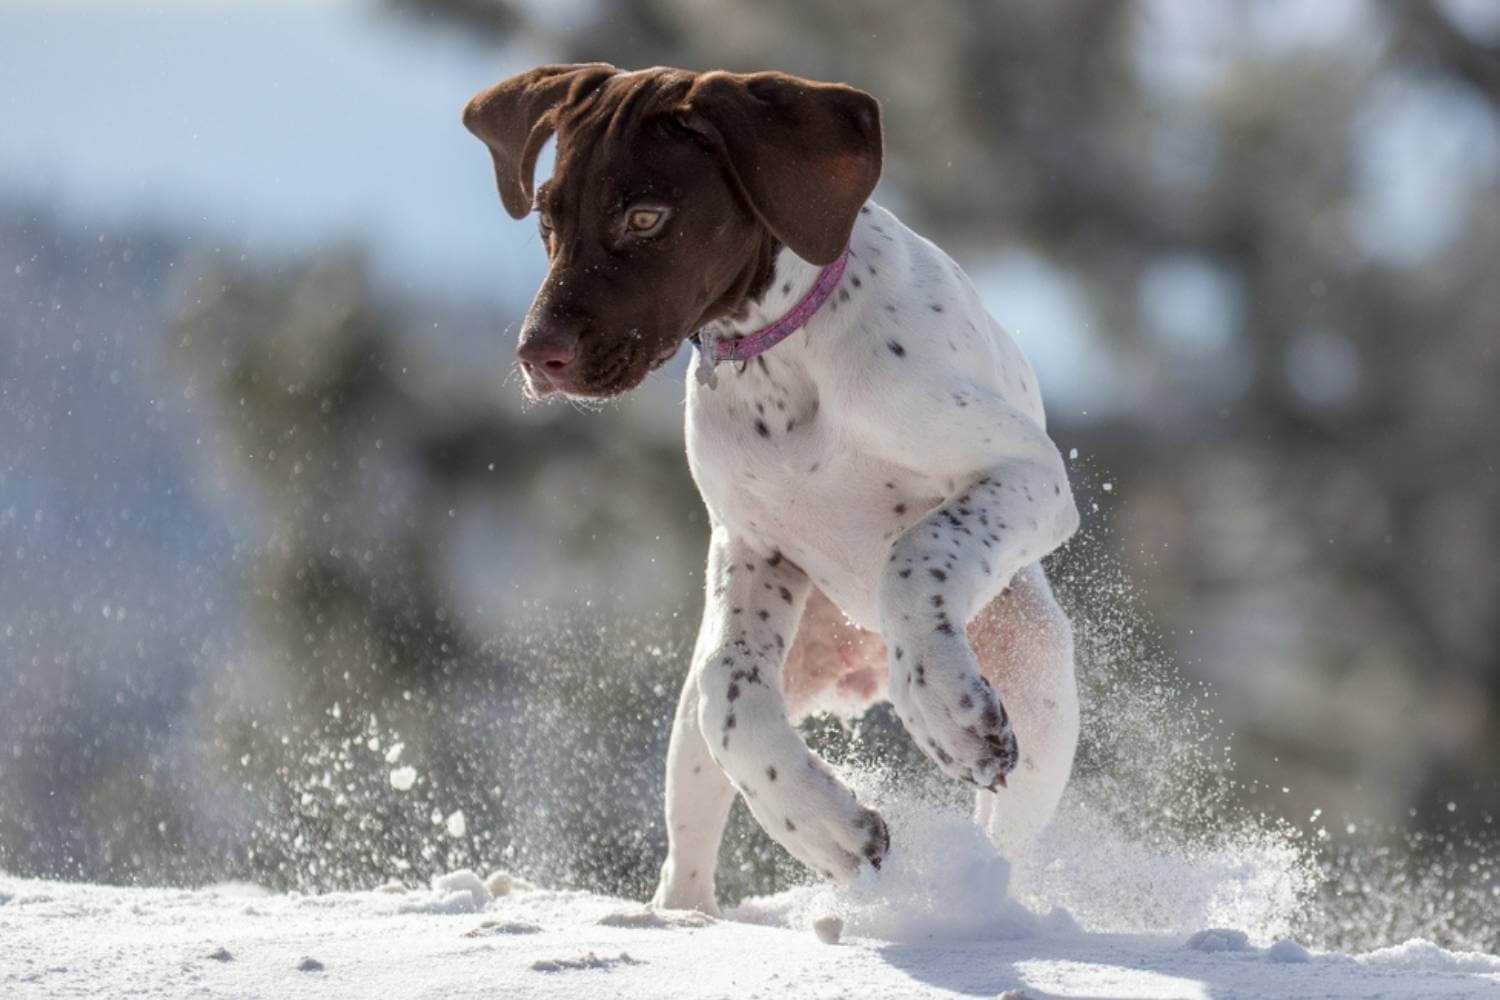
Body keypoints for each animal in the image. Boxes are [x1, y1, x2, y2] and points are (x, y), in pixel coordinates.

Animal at [465, 58, 1080, 911]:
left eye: (646, 218)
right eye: (548, 221)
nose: (536, 355)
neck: (783, 361)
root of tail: (853, 658)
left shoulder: (1029, 473)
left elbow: (916, 554)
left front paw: (943, 707)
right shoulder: (754, 550)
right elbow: (732, 696)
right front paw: (828, 829)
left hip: (1041, 685)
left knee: (1005, 836)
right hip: (700, 726)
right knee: (698, 790)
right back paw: (681, 915)